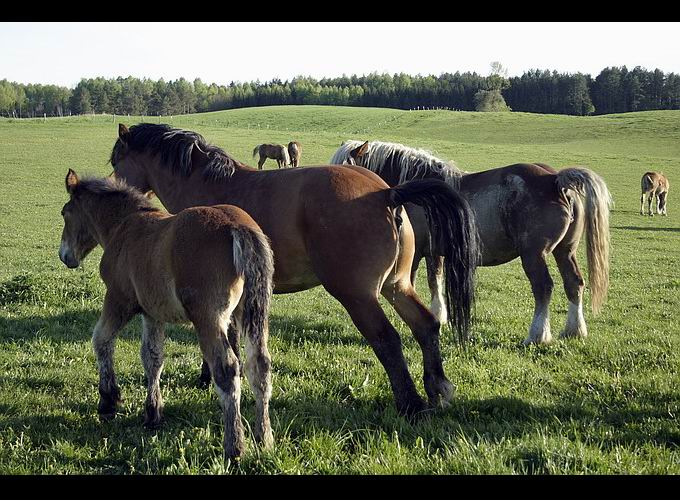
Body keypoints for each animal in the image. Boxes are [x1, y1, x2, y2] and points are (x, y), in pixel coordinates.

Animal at [58, 170, 274, 458]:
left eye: (64, 212)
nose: (65, 256)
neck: (124, 226)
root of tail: (237, 227)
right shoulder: (152, 313)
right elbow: (153, 357)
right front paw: (153, 412)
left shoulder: (119, 299)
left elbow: (101, 340)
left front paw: (108, 402)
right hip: (252, 312)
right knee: (259, 365)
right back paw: (264, 438)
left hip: (208, 318)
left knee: (227, 370)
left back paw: (235, 447)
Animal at [110, 123, 484, 416]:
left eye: (116, 160)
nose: (113, 186)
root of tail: (387, 193)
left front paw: (206, 377)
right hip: (398, 286)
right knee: (426, 325)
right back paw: (437, 388)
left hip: (358, 296)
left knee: (387, 340)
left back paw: (411, 404)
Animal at [332, 139, 612, 346]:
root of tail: (555, 180)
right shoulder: (436, 252)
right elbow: (436, 281)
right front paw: (439, 315)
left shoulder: (417, 253)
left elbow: (410, 283)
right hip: (565, 252)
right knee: (574, 283)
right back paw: (574, 330)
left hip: (534, 254)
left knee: (543, 287)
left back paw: (537, 335)